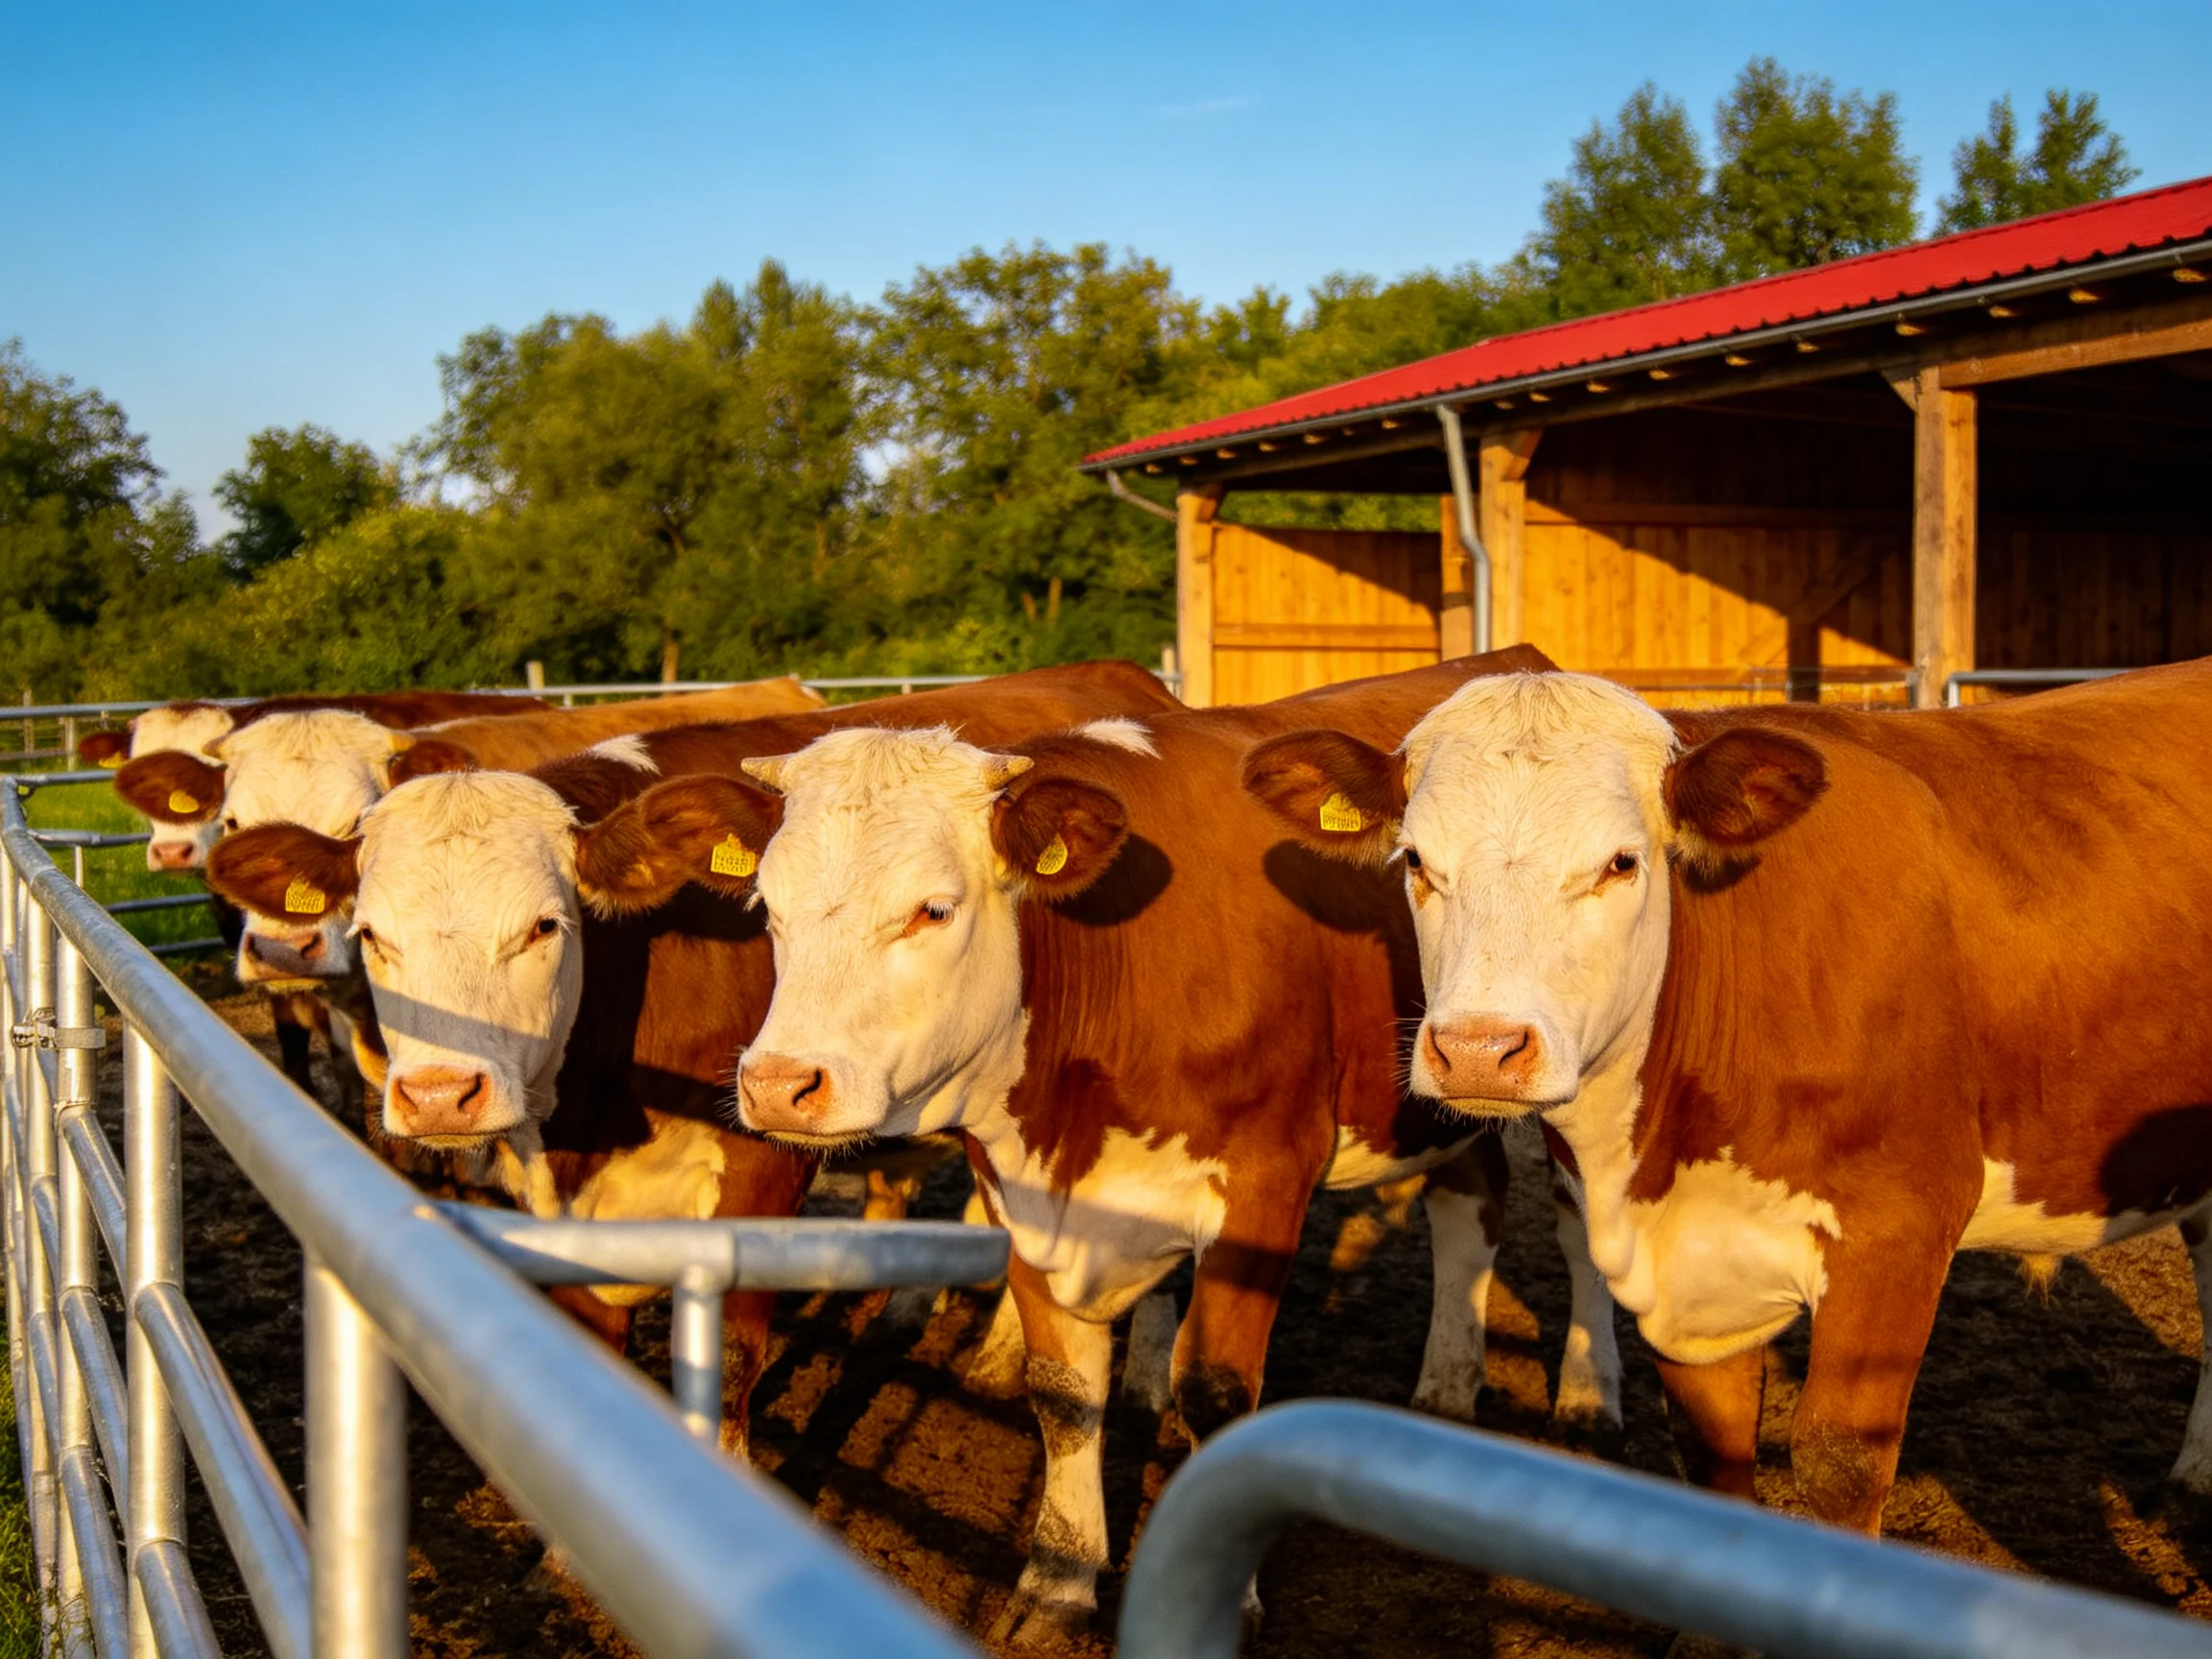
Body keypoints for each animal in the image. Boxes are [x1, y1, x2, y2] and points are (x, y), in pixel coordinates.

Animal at [713, 649, 1623, 1642]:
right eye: (768, 906)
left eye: (933, 911)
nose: (779, 1084)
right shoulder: (1018, 1183)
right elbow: (1063, 1392)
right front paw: (1059, 1577)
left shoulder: (1264, 1182)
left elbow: (1217, 1394)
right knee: (1472, 1193)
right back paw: (1448, 1386)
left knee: (1577, 1221)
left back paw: (1587, 1398)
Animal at [1238, 659, 2212, 1538]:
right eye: (1416, 861)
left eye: (1621, 862)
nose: (1479, 1049)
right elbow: (1713, 1458)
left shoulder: (1898, 1233)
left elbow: (1838, 1462)